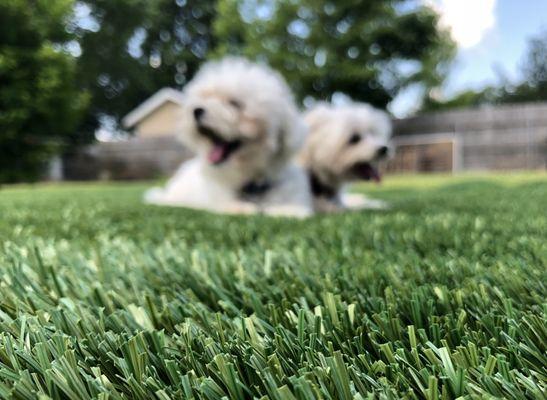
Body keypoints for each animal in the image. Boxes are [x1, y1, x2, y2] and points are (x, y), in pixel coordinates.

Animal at [147, 57, 312, 217]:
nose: (196, 110)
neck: (251, 185)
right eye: (204, 97)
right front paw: (242, 208)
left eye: (234, 103)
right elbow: (229, 204)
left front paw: (287, 210)